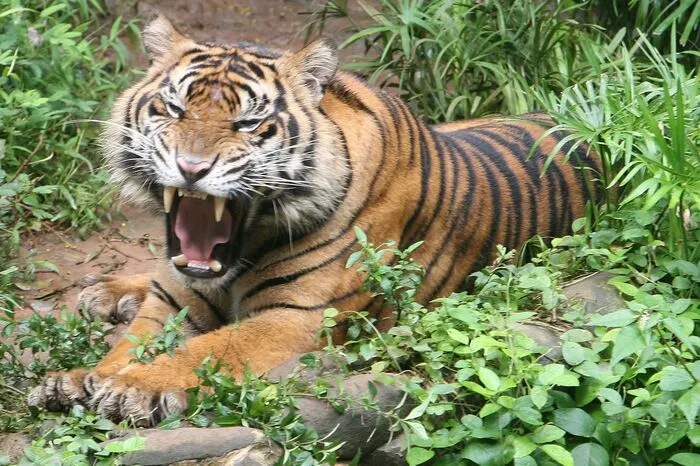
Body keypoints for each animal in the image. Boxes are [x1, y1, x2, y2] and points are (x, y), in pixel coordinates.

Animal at [29, 16, 602, 425]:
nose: (192, 168)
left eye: (249, 123)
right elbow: (131, 341)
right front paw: (81, 379)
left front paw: (133, 388)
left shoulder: (297, 316)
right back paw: (107, 292)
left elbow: (206, 348)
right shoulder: (174, 296)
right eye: (173, 109)